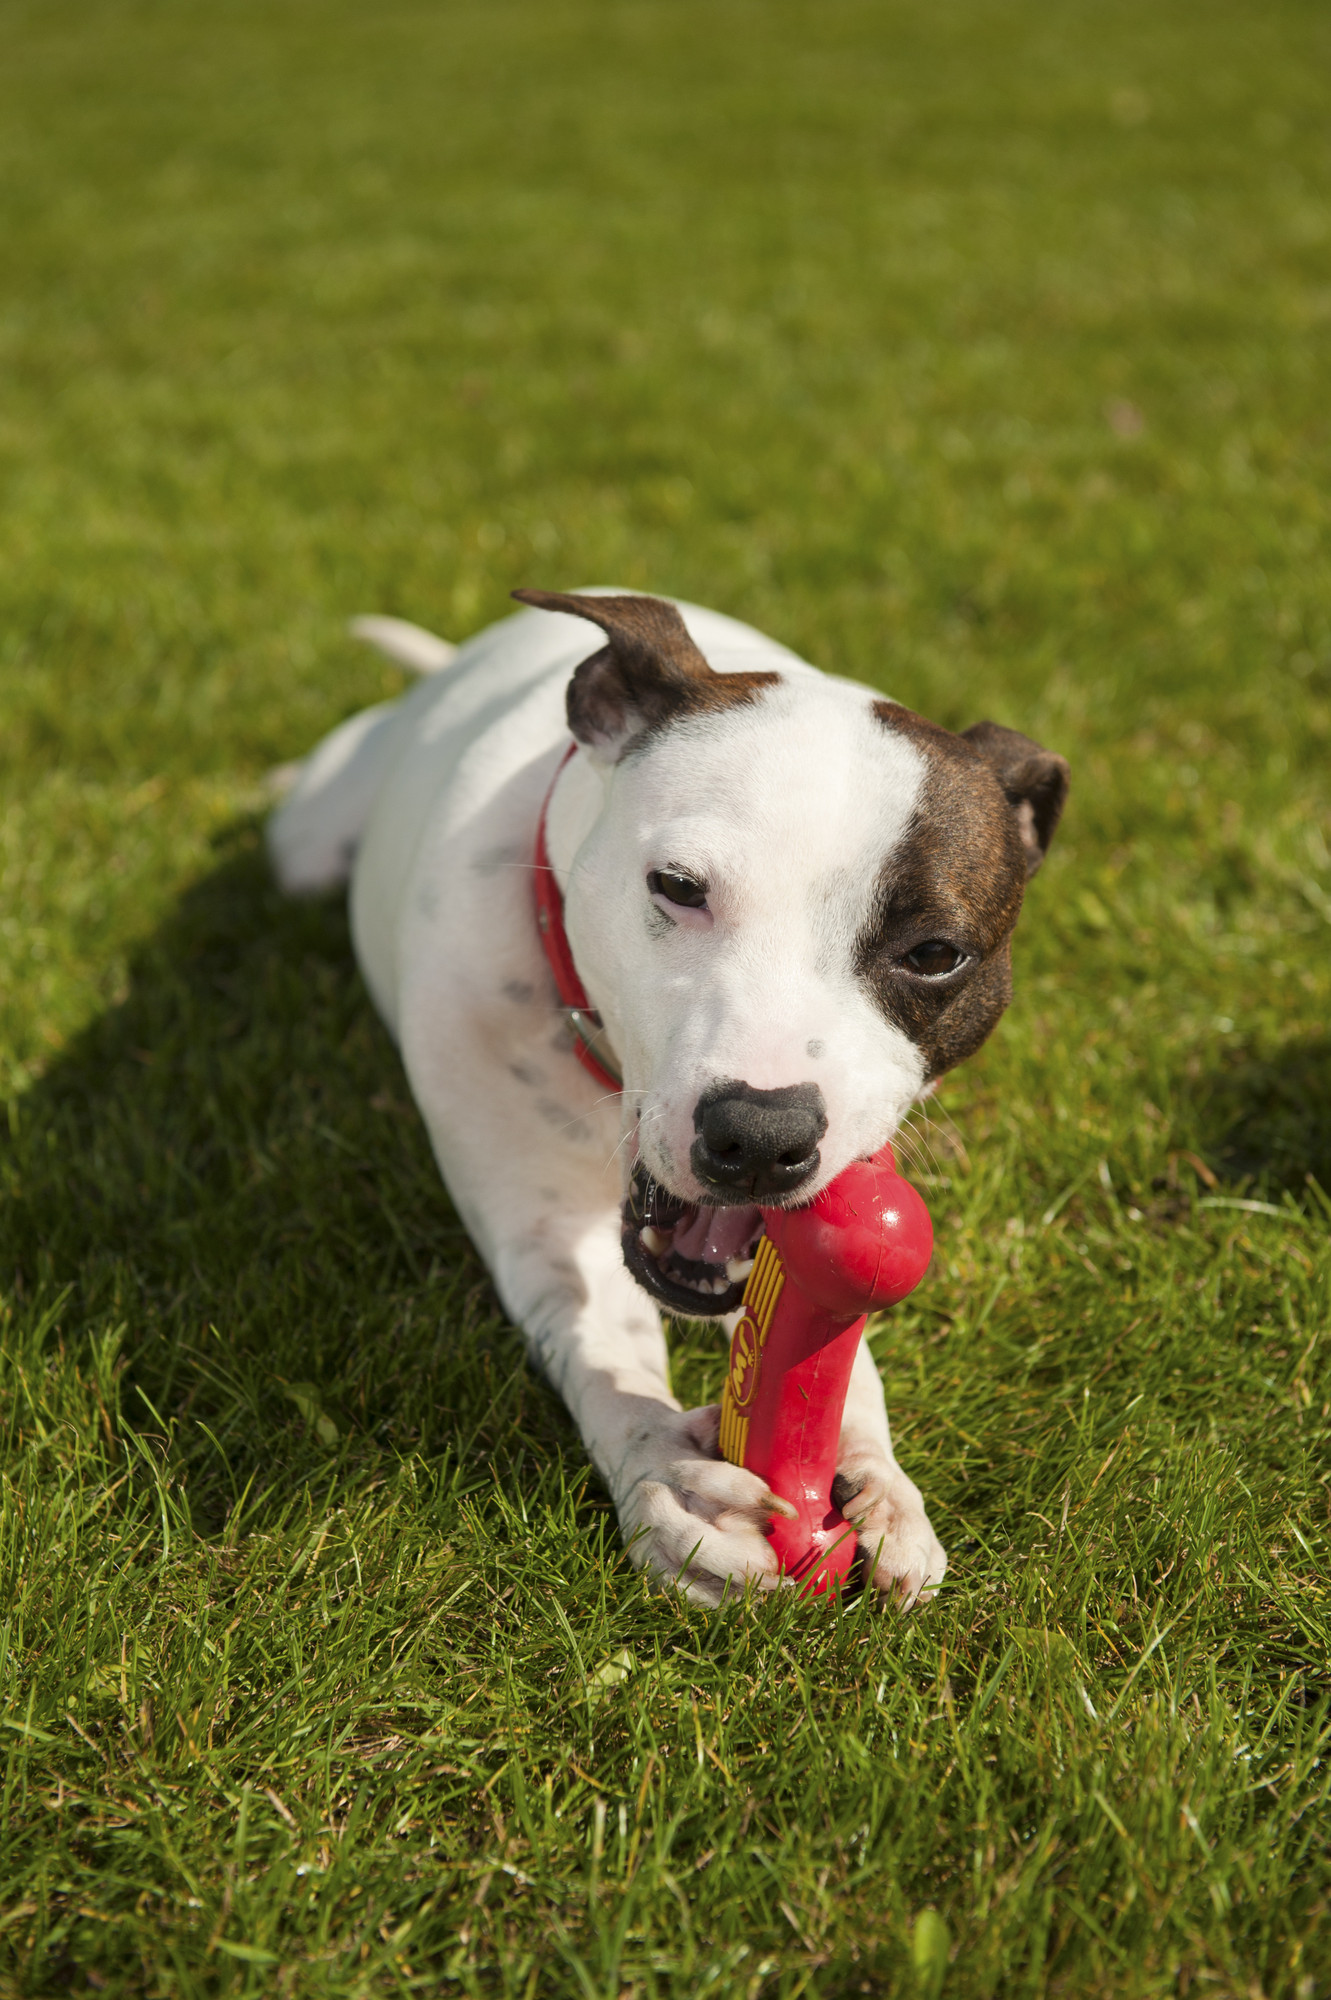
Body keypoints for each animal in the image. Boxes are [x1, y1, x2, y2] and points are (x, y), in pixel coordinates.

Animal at [269, 592, 1071, 1608]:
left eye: (934, 954)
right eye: (678, 888)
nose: (760, 1136)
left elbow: (838, 1359)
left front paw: (879, 1481)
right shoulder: (541, 1233)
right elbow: (604, 1351)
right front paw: (668, 1479)